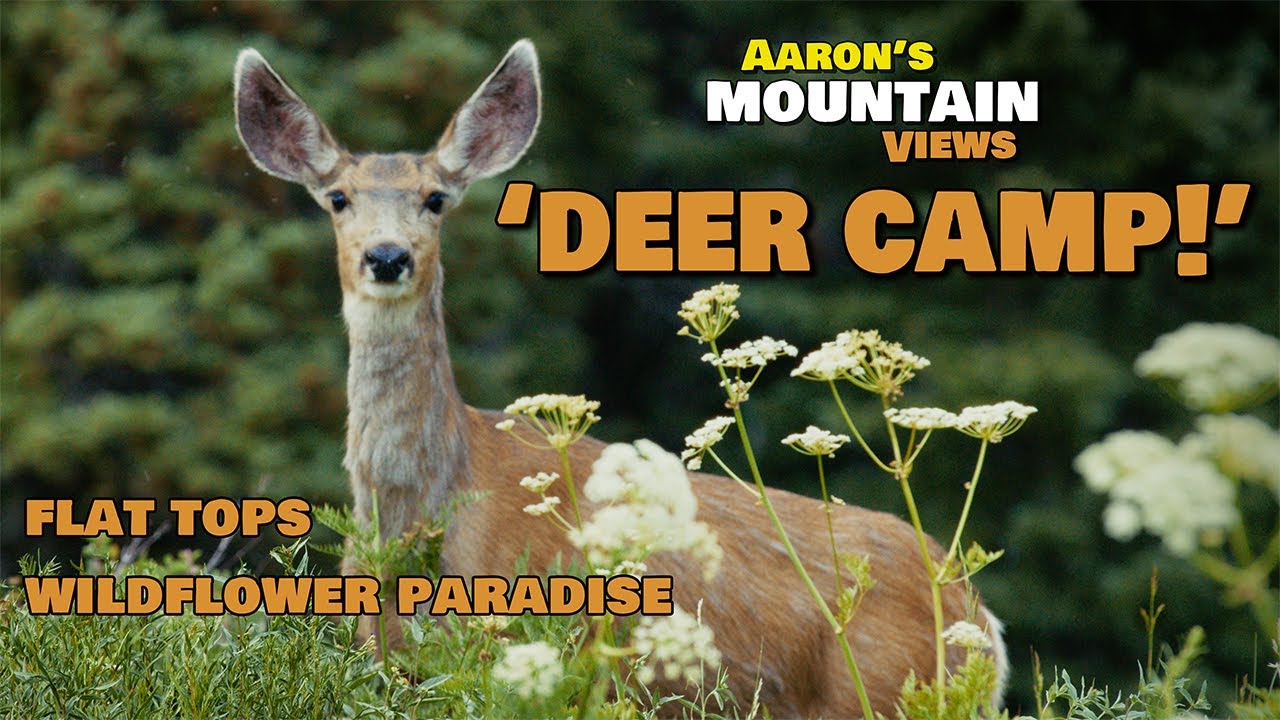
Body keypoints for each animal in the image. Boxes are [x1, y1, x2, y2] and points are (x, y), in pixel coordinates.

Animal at [233, 40, 1008, 718]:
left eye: (435, 198)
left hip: (891, 687)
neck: (427, 514)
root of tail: (978, 614)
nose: (388, 257)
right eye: (338, 198)